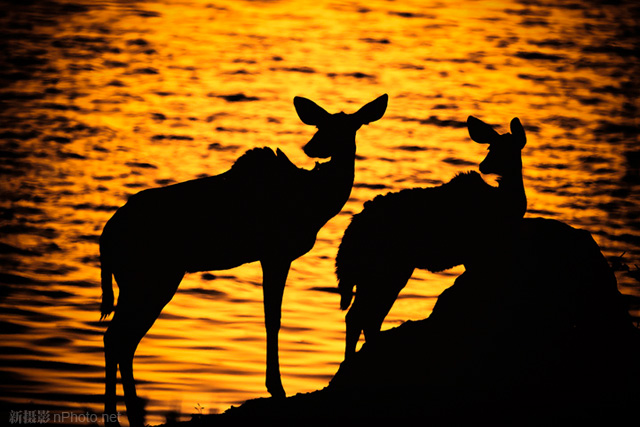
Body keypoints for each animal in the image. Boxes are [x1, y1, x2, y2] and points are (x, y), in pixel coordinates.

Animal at [100, 95, 390, 426]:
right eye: (321, 125)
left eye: (345, 127)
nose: (311, 146)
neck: (315, 203)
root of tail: (105, 238)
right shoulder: (276, 252)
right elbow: (273, 318)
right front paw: (276, 387)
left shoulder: (272, 256)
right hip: (150, 278)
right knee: (118, 338)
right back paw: (118, 416)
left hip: (142, 281)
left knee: (121, 340)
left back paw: (129, 416)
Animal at [336, 115, 524, 360]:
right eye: (491, 148)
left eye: (506, 148)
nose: (484, 166)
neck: (507, 203)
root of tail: (349, 237)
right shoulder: (475, 253)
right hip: (384, 270)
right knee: (361, 315)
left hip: (377, 273)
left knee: (366, 316)